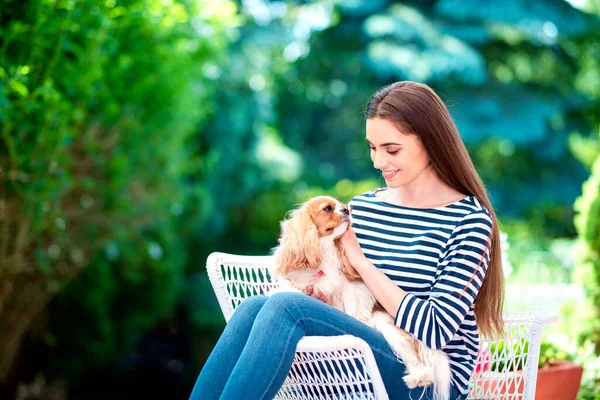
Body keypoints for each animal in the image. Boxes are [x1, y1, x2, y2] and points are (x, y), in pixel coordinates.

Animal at [270, 195, 450, 398]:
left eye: (341, 204)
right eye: (328, 209)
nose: (345, 210)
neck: (324, 250)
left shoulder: (351, 288)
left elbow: (351, 309)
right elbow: (287, 287)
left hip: (387, 327)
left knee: (415, 358)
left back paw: (418, 376)